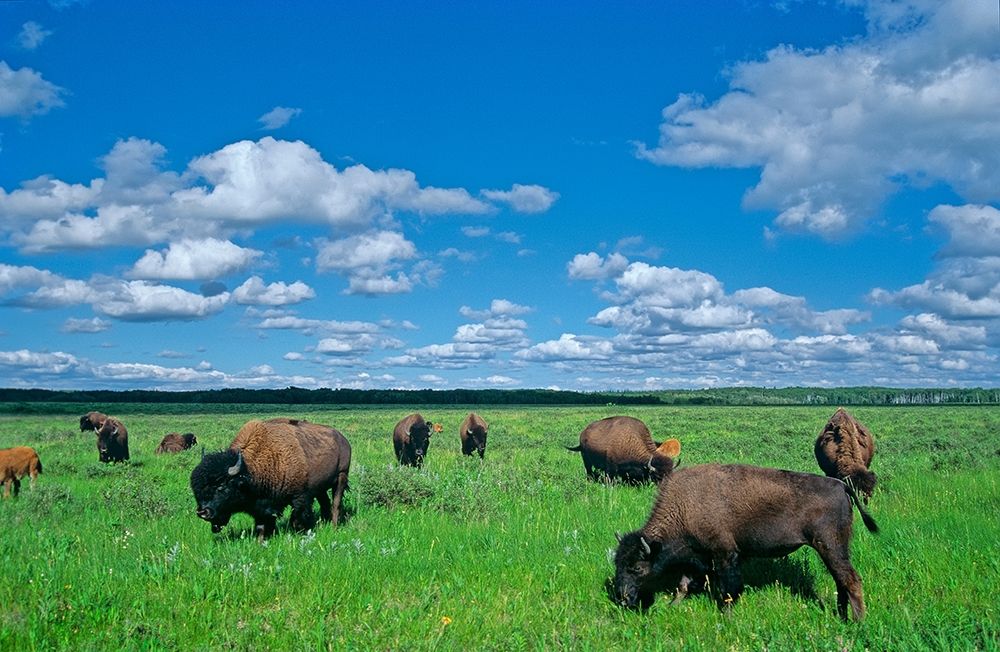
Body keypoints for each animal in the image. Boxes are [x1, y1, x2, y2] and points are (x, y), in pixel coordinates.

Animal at [190, 418, 352, 540]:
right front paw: (261, 541)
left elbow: (297, 519)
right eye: (196, 490)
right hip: (321, 488)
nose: (203, 512)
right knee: (325, 503)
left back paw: (334, 526)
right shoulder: (261, 505)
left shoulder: (300, 497)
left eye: (221, 487)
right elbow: (262, 525)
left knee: (336, 503)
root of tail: (343, 439)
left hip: (341, 477)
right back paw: (325, 522)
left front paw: (299, 533)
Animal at [608, 460, 876, 620]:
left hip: (830, 546)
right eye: (617, 564)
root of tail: (841, 486)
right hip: (835, 550)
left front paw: (725, 616)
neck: (686, 505)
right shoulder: (698, 557)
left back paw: (858, 621)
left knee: (850, 579)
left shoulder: (725, 554)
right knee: (841, 580)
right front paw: (672, 606)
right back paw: (842, 616)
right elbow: (684, 584)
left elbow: (729, 589)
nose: (622, 599)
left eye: (636, 568)